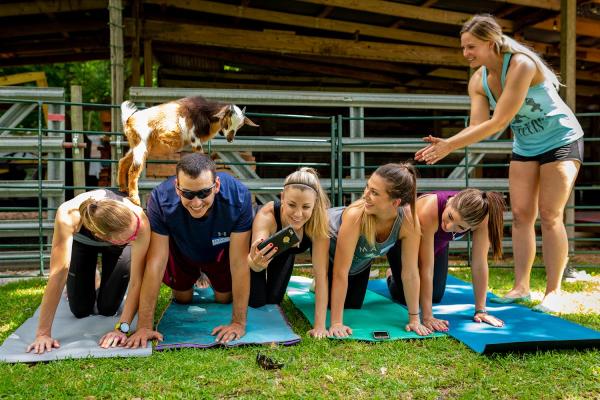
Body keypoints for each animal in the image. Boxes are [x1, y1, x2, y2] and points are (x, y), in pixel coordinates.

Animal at [117, 95, 258, 205]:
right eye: (227, 122)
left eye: (240, 126)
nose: (230, 139)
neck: (205, 112)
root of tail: (129, 120)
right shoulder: (194, 138)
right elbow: (201, 156)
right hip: (141, 144)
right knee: (133, 169)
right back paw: (135, 199)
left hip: (138, 146)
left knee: (123, 161)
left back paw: (123, 188)